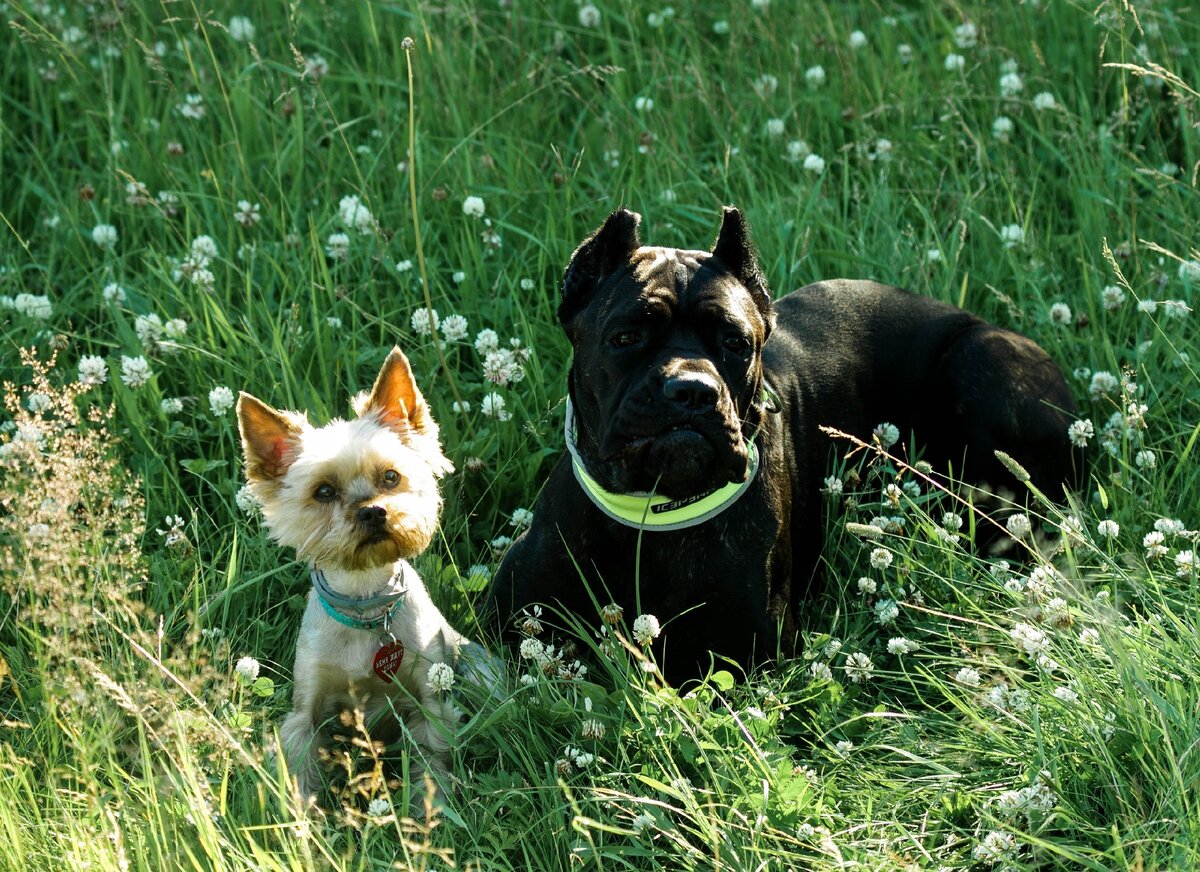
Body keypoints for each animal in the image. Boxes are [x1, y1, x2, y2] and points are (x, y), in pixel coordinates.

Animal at [238, 345, 492, 806]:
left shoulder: (429, 702)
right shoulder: (307, 712)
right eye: (323, 492)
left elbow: (432, 763)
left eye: (390, 477)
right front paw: (303, 820)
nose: (373, 511)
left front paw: (433, 810)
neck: (365, 602)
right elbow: (303, 770)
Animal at [482, 206, 1084, 681]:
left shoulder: (750, 646)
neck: (654, 512)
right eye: (626, 337)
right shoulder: (508, 618)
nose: (692, 390)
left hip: (977, 364)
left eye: (736, 342)